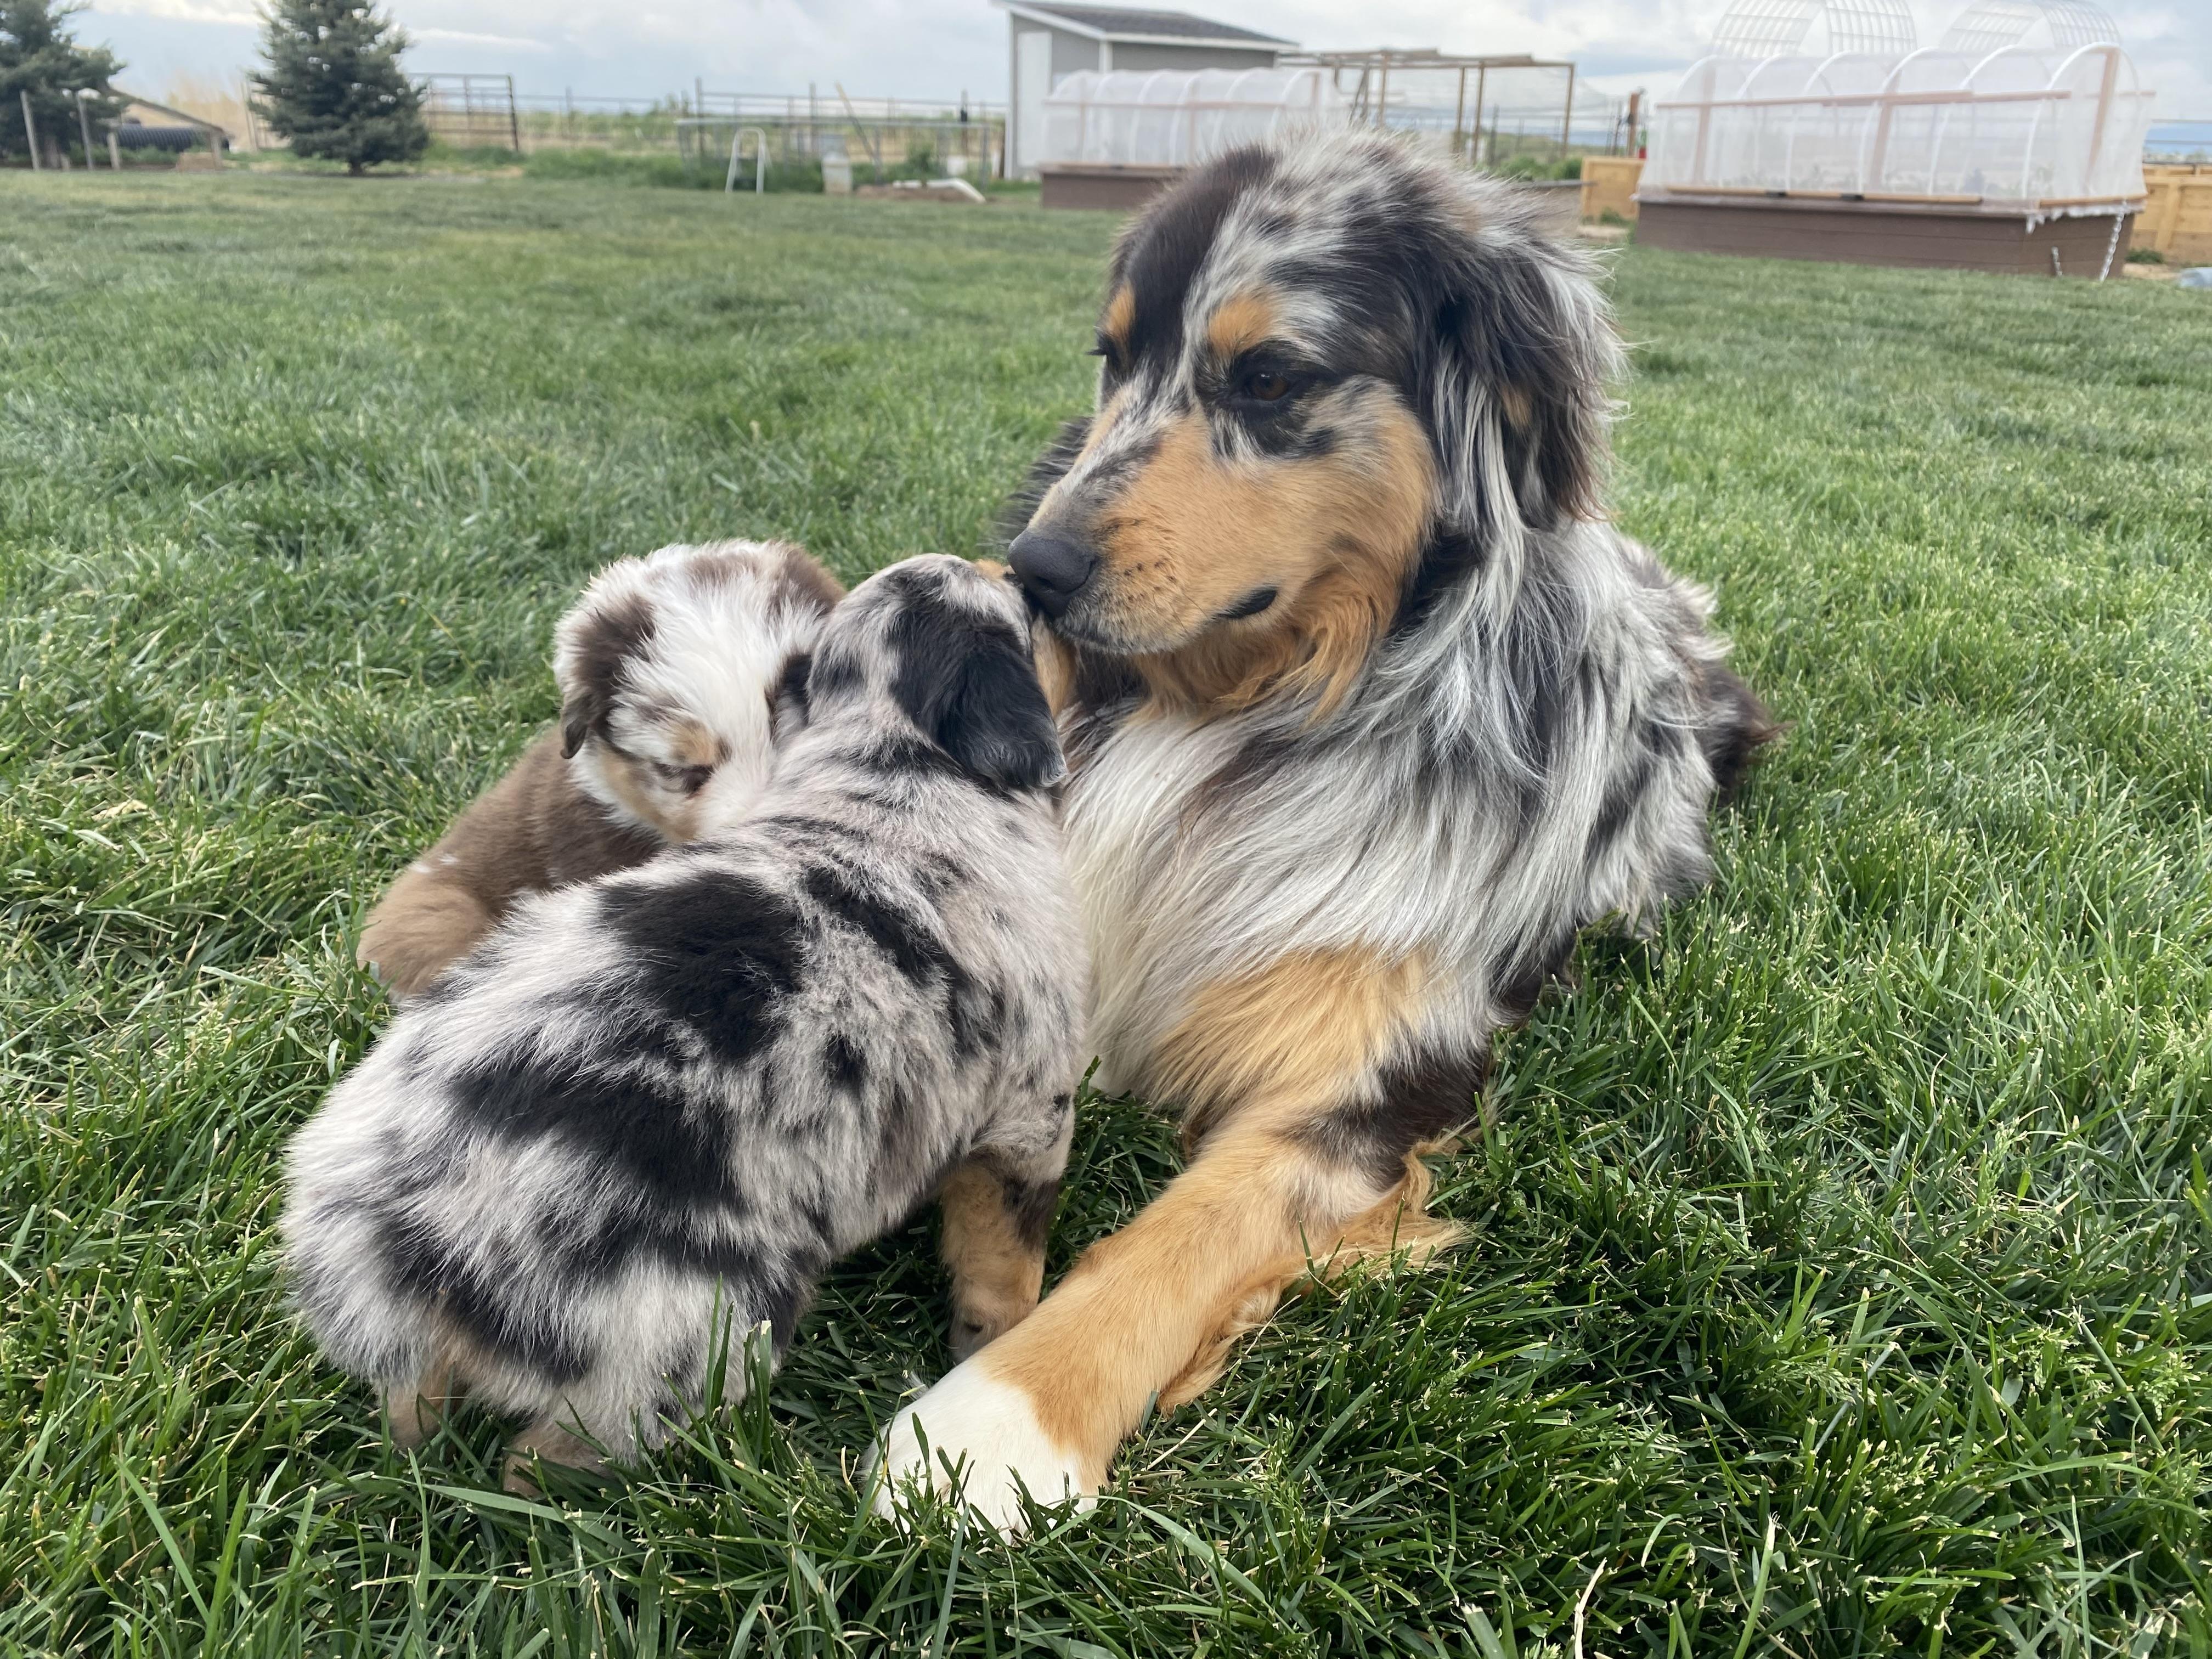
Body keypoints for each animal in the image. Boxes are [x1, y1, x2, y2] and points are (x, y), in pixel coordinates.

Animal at [870, 129, 1775, 1529]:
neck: (1240, 710)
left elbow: (1188, 1231)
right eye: (1111, 357)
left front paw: (996, 1421)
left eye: (1269, 377)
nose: (1031, 570)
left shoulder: (1374, 1074)